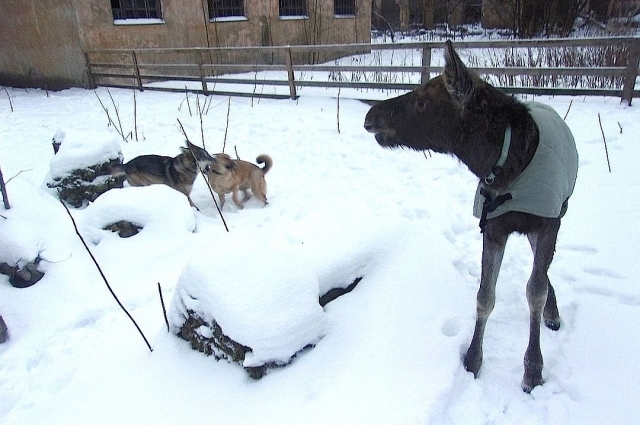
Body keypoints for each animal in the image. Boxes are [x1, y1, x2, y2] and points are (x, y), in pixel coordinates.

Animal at [364, 40, 580, 390]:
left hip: (558, 212)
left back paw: (552, 313)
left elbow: (534, 291)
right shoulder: (493, 226)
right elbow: (484, 296)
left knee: (541, 270)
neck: (504, 165)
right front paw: (473, 359)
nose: (371, 116)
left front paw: (533, 370)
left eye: (422, 101)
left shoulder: (546, 221)